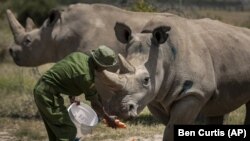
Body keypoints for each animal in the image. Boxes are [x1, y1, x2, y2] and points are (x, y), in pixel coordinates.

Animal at [95, 15, 250, 141]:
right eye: (118, 72)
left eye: (146, 80)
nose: (116, 110)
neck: (164, 54)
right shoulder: (155, 97)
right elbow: (169, 127)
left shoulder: (194, 92)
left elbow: (172, 128)